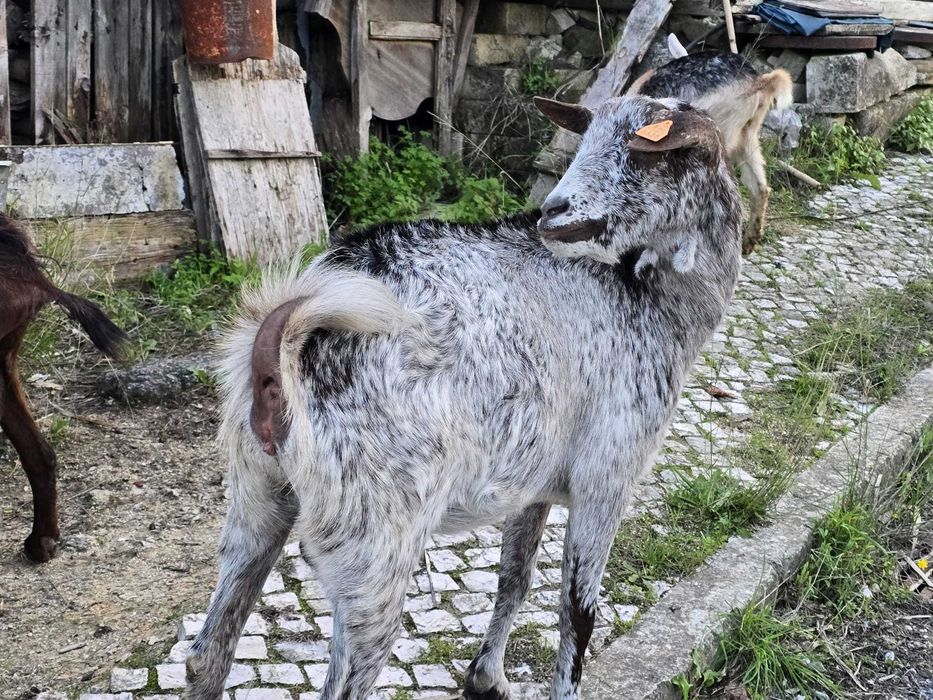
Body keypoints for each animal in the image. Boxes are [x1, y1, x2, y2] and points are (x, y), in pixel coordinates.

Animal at [185, 95, 742, 700]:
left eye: (646, 154)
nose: (553, 211)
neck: (644, 298)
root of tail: (282, 344)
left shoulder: (534, 485)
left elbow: (514, 578)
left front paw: (487, 679)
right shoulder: (607, 478)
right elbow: (578, 613)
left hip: (256, 497)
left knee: (209, 651)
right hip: (374, 544)